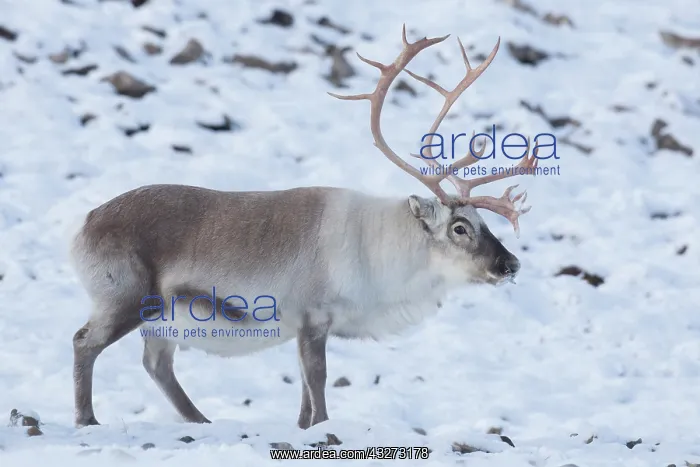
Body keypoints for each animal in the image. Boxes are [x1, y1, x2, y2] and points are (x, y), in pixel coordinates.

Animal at [70, 25, 538, 430]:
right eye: (460, 227)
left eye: (484, 221)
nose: (511, 264)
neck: (382, 252)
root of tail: (84, 225)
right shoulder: (313, 316)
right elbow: (318, 380)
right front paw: (323, 428)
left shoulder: (303, 326)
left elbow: (303, 392)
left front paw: (303, 427)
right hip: (125, 297)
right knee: (84, 342)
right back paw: (87, 420)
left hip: (159, 321)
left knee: (156, 364)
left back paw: (201, 421)